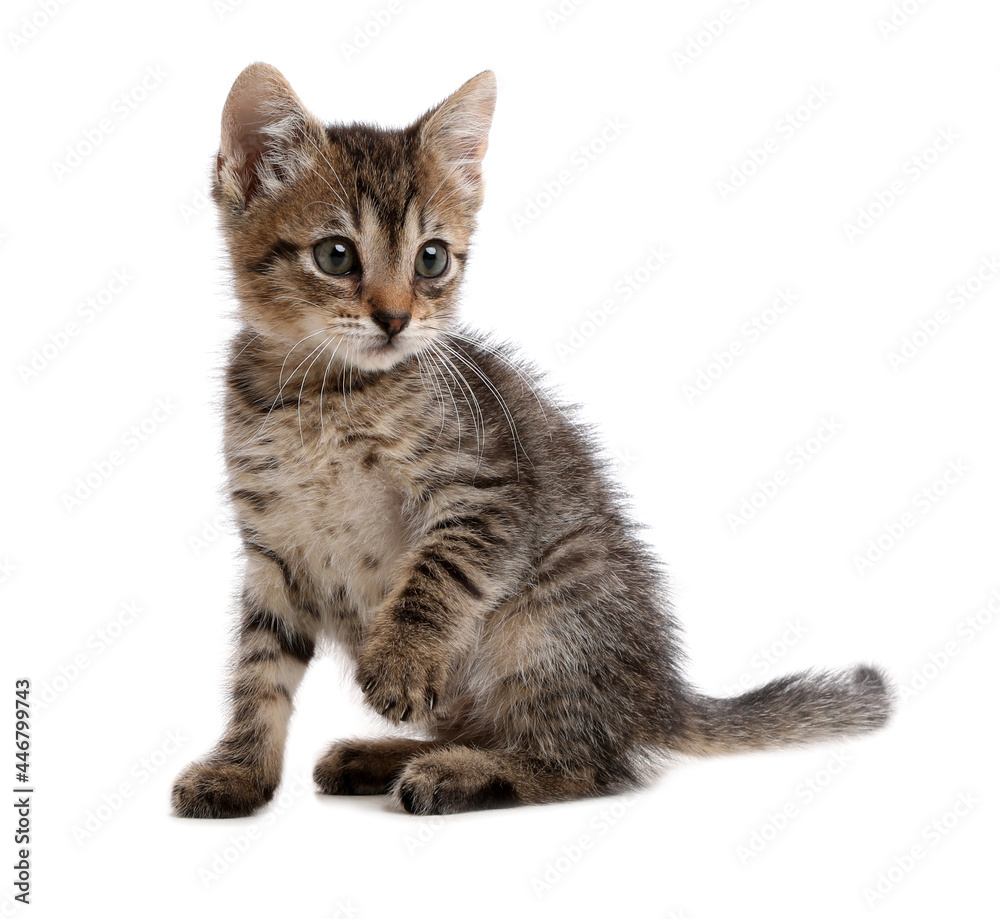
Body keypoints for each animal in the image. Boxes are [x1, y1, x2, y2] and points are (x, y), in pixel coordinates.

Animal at [170, 61, 892, 816]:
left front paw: (400, 660)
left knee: (587, 762)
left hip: (547, 618)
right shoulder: (274, 549)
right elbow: (259, 671)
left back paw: (456, 772)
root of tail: (658, 699)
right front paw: (239, 770)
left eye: (432, 260)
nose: (396, 319)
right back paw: (386, 756)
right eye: (336, 255)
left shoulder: (486, 487)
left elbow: (435, 577)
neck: (323, 396)